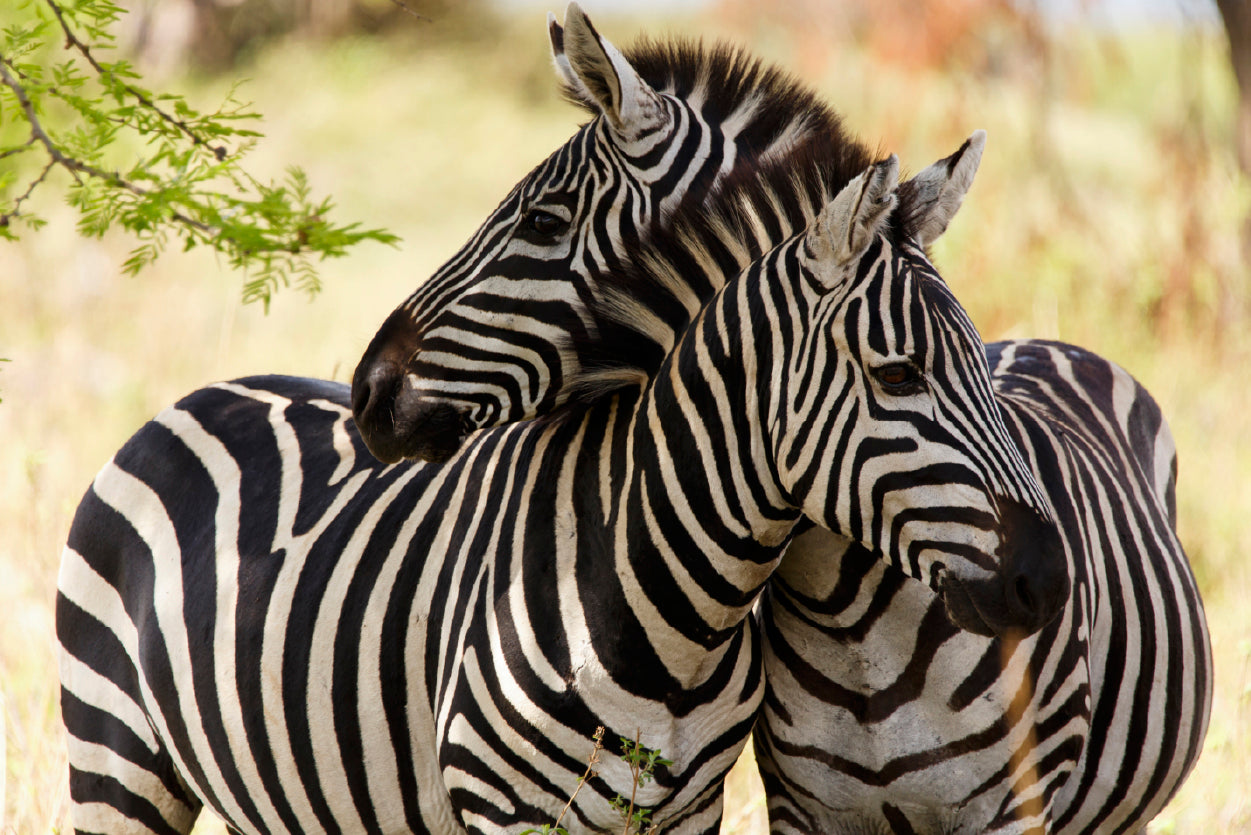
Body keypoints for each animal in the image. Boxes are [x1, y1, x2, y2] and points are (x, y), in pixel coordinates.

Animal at [57, 141, 1068, 833]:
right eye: (898, 375)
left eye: (985, 371)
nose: (1048, 579)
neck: (671, 615)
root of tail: (199, 394)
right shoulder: (505, 813)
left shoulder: (686, 814)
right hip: (115, 761)